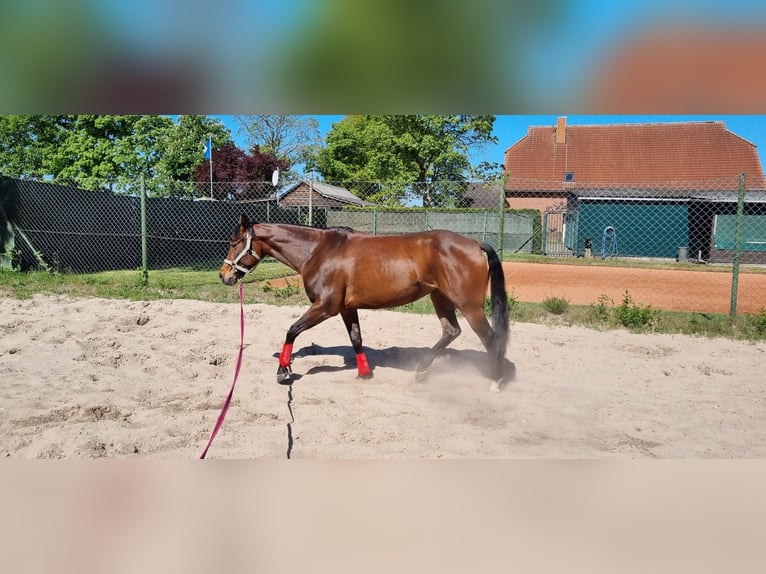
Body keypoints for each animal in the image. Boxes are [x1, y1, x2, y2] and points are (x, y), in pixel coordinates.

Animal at [219, 214, 510, 391]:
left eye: (235, 242)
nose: (224, 275)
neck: (319, 250)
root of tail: (475, 243)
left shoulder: (325, 307)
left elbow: (292, 330)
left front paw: (283, 370)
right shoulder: (347, 309)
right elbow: (356, 339)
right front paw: (364, 373)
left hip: (469, 306)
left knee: (489, 337)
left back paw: (496, 381)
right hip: (440, 297)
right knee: (451, 331)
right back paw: (421, 371)